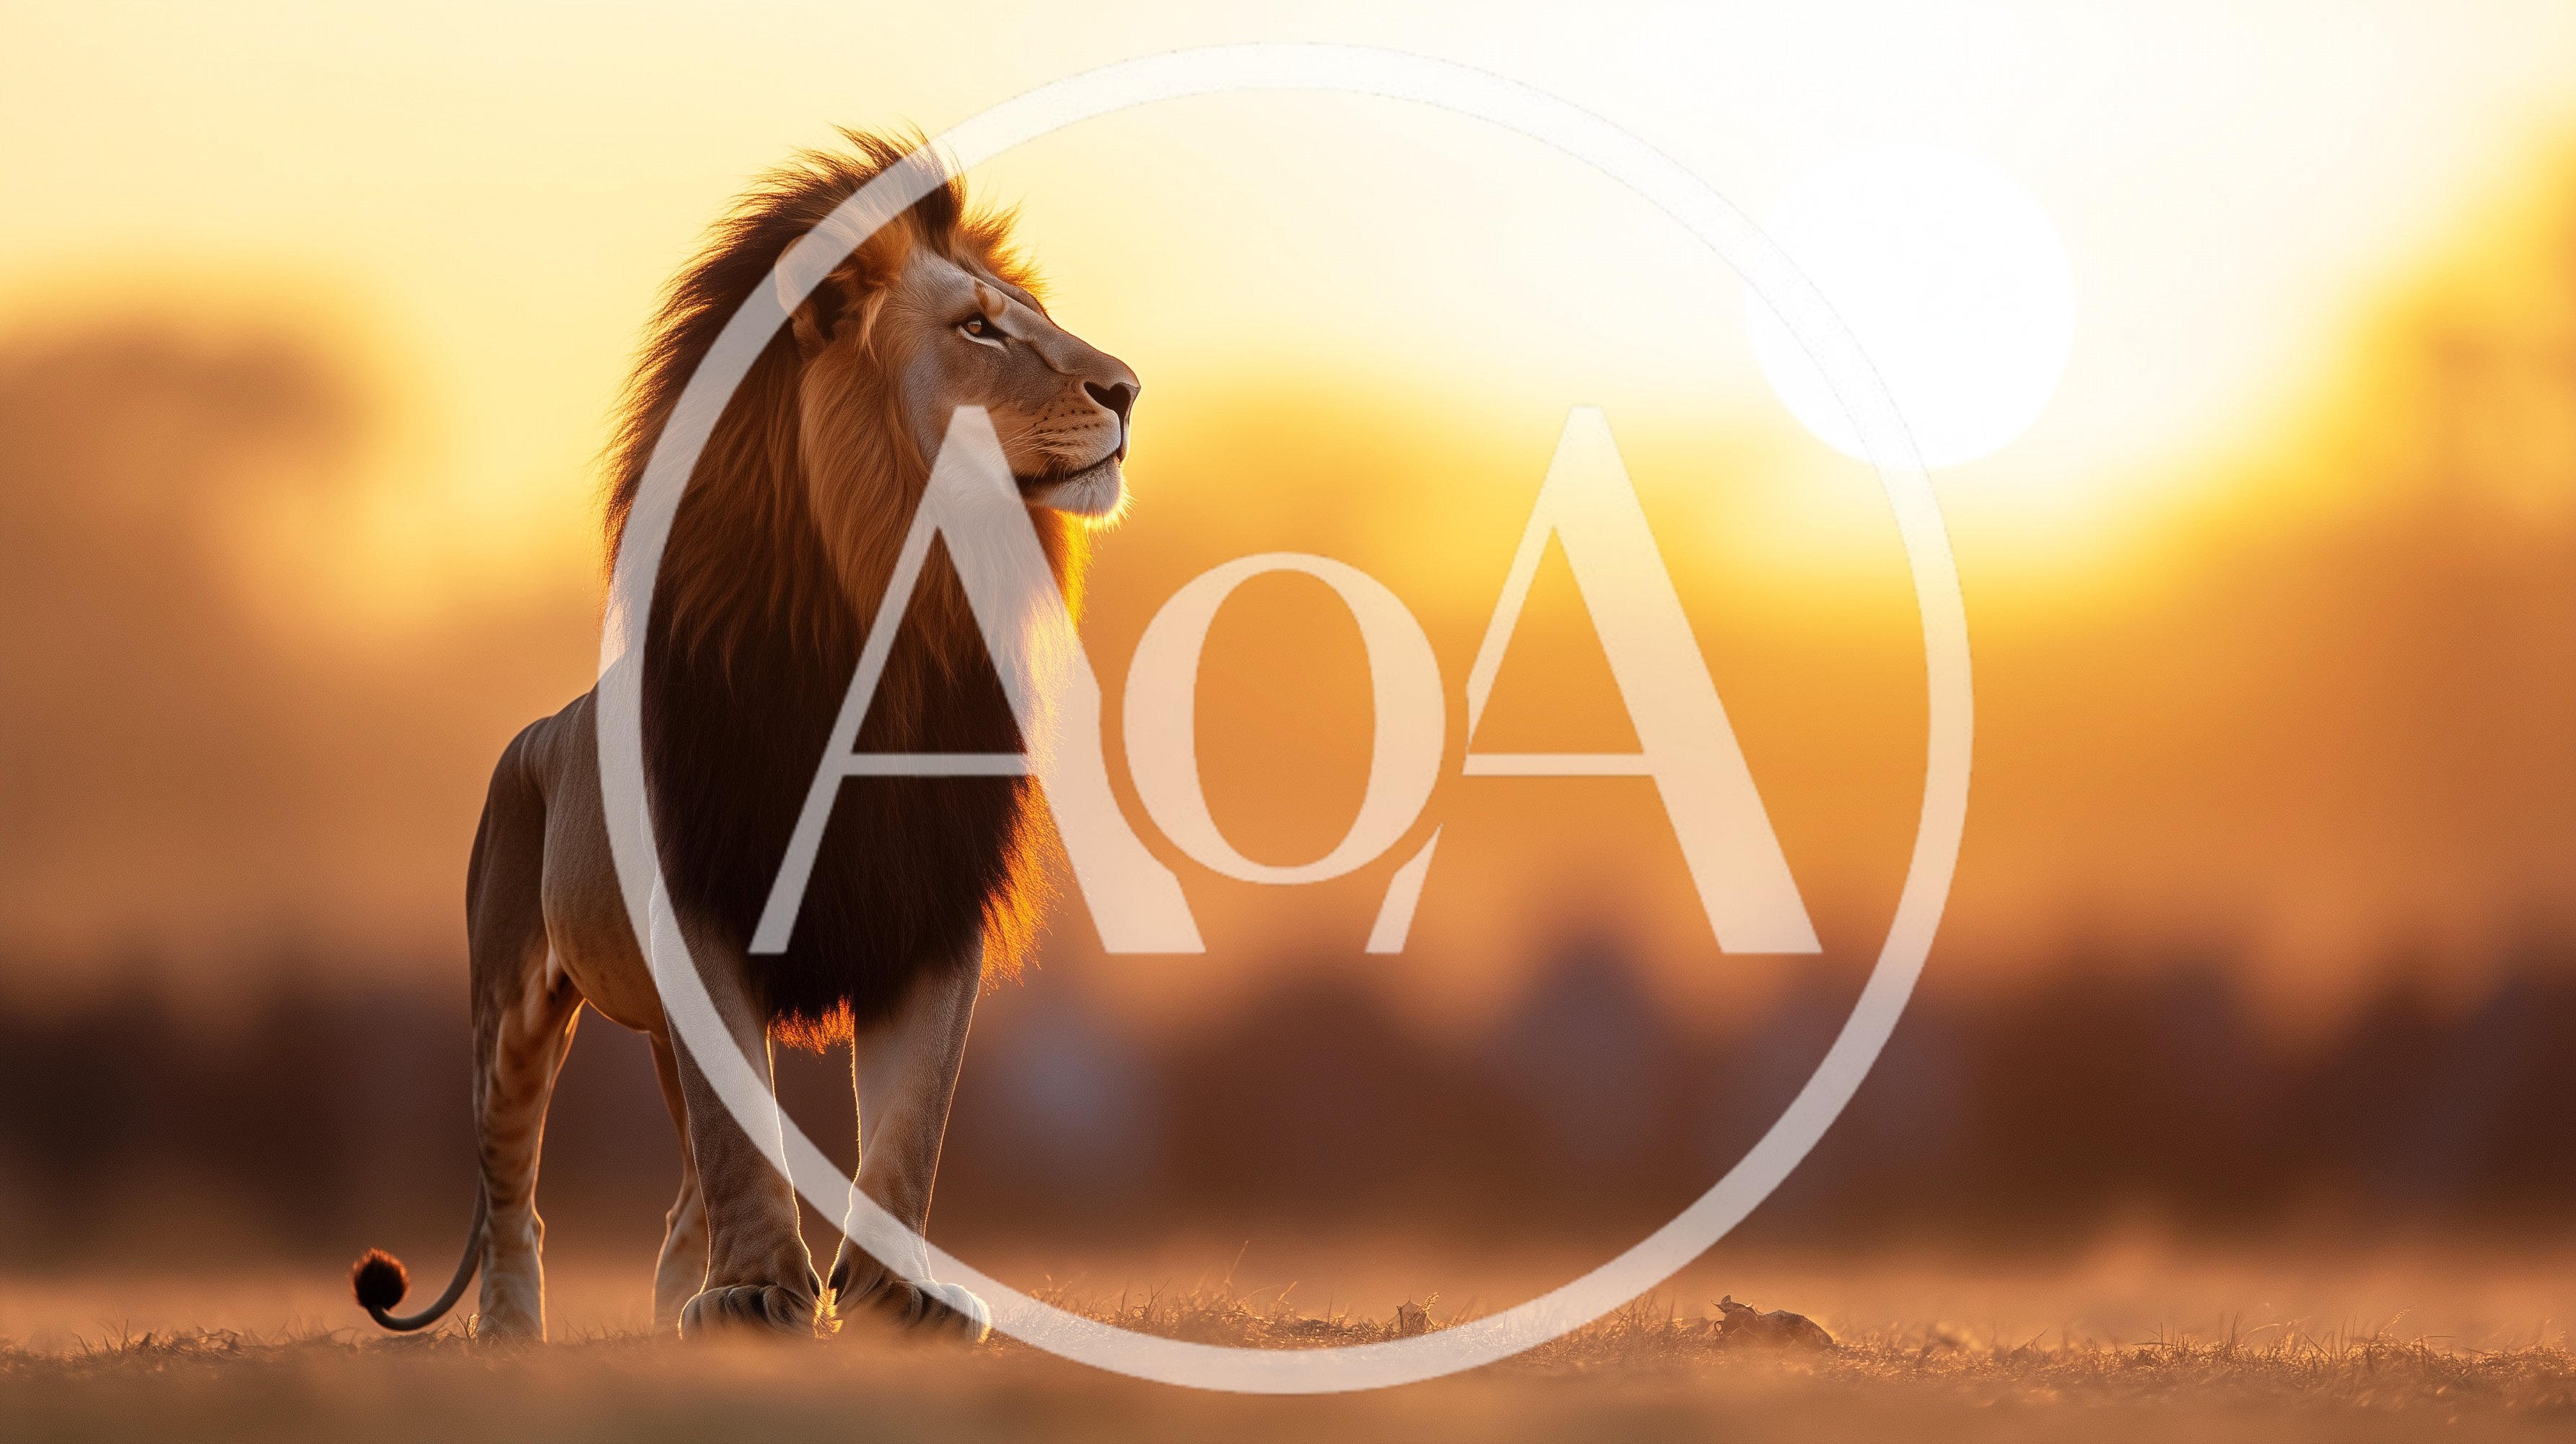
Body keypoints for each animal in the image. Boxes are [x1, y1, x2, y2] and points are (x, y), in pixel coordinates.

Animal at [348, 131, 1138, 1341]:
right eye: (978, 329)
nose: (1129, 390)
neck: (892, 619)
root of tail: (539, 731)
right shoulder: (701, 906)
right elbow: (743, 1144)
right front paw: (758, 1292)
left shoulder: (930, 915)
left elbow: (907, 1129)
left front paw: (895, 1301)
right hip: (509, 1011)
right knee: (516, 1186)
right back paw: (516, 1332)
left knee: (678, 1192)